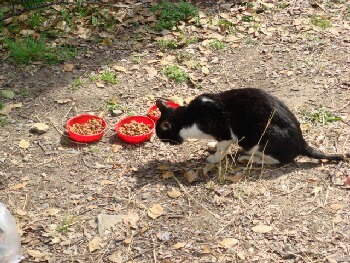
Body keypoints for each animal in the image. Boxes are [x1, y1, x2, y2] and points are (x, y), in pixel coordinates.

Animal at [155, 88, 348, 165]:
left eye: (162, 135)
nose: (163, 142)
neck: (189, 117)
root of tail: (301, 142)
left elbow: (222, 148)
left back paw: (248, 158)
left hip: (259, 136)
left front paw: (213, 158)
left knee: (277, 160)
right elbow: (217, 145)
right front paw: (211, 146)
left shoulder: (227, 134)